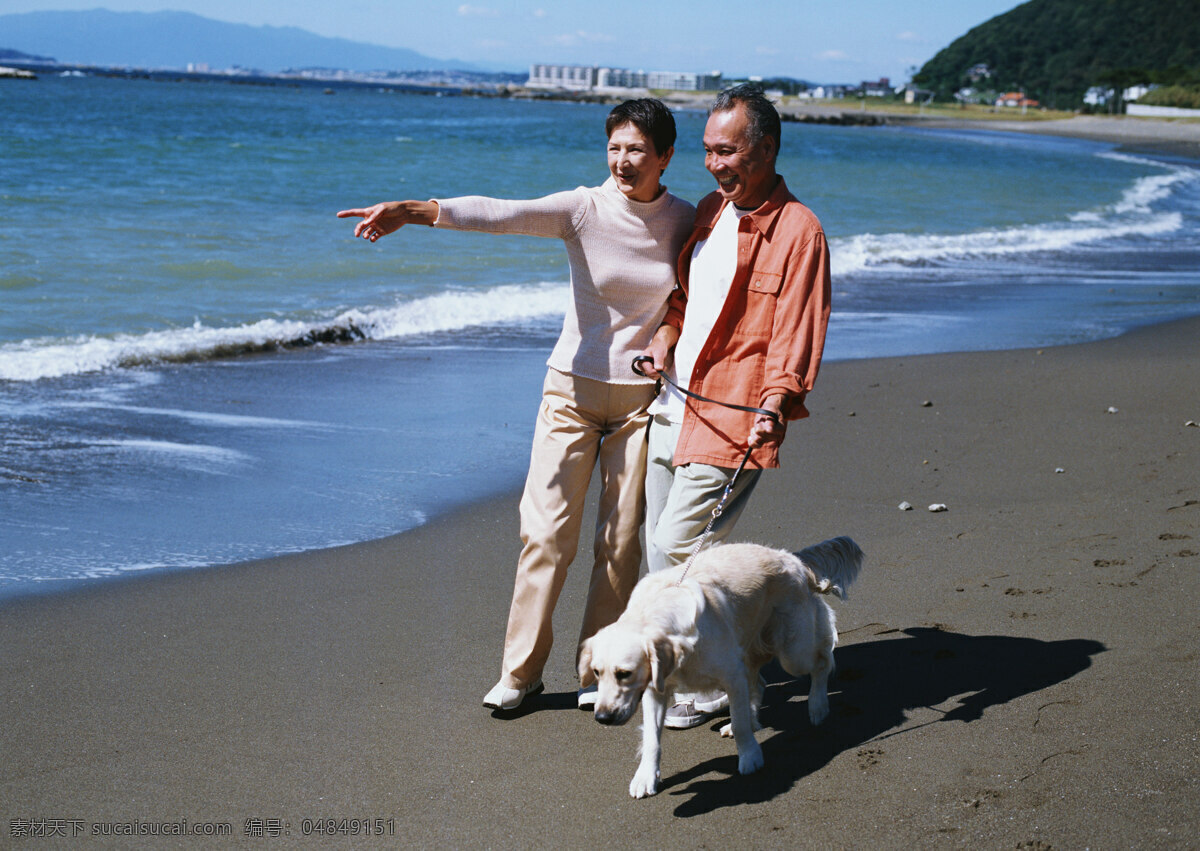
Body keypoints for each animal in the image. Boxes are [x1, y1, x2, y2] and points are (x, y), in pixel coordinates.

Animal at [576, 537, 859, 796]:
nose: (602, 718)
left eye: (624, 673)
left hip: (793, 650)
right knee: (759, 683)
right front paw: (645, 777)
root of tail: (792, 558)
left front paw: (750, 756)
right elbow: (652, 739)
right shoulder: (655, 688)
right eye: (597, 672)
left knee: (822, 661)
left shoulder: (731, 675)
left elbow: (741, 722)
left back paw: (818, 706)